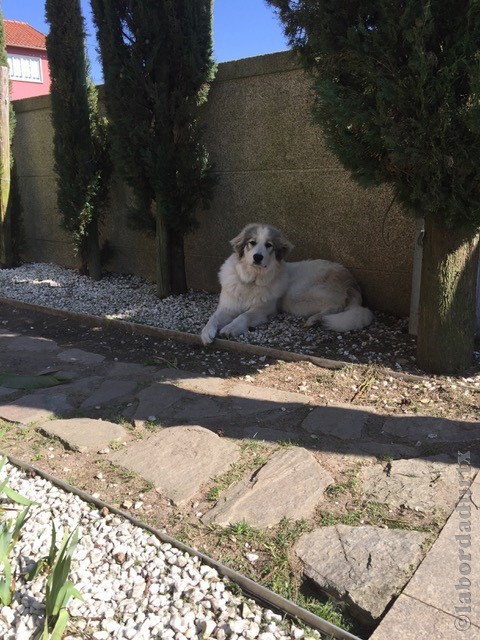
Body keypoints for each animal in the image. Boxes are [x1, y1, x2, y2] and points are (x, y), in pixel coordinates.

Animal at [201, 224, 374, 344]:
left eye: (268, 245)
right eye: (252, 242)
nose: (257, 257)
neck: (252, 280)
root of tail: (351, 279)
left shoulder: (263, 310)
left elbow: (243, 316)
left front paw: (230, 328)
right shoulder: (227, 307)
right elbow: (213, 318)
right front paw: (206, 333)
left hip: (301, 296)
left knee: (338, 306)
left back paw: (315, 319)